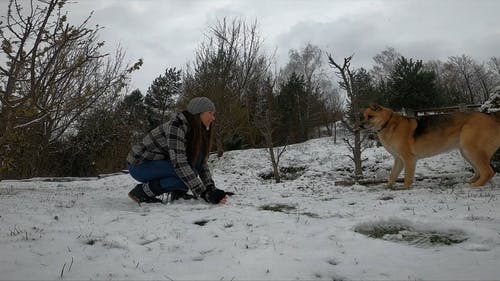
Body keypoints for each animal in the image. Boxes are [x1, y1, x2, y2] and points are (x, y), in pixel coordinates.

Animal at [362, 104, 500, 188]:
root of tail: (492, 117)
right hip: (466, 152)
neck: (388, 123)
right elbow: (392, 176)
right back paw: (469, 183)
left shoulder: (408, 159)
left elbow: (407, 177)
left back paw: (475, 186)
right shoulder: (399, 160)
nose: (359, 125)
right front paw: (387, 187)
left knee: (488, 172)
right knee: (479, 171)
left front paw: (404, 188)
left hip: (471, 150)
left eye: (370, 116)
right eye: (363, 117)